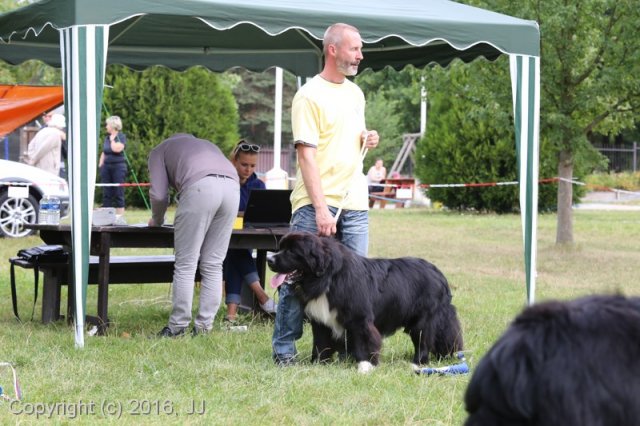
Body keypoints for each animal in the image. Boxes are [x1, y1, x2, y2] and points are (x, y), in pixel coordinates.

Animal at [268, 230, 462, 372]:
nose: (269, 259)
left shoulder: (359, 319)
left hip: (424, 319)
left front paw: (365, 366)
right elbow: (321, 344)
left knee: (423, 340)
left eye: (292, 251)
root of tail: (440, 275)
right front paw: (318, 364)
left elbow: (365, 340)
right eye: (281, 248)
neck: (327, 278)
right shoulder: (321, 322)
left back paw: (418, 363)